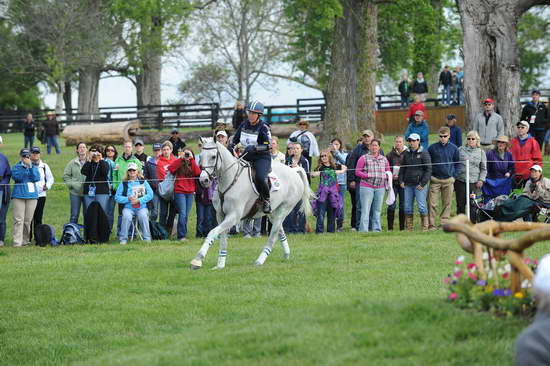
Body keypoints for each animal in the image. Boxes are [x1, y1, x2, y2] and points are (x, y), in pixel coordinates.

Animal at [193, 137, 314, 268]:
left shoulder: (233, 216)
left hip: (284, 209)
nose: (203, 180)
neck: (230, 180)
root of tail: (294, 171)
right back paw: (286, 254)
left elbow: (212, 232)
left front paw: (198, 259)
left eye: (213, 156)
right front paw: (220, 265)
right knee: (280, 230)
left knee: (273, 235)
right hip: (273, 212)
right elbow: (223, 239)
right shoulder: (221, 215)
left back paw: (260, 260)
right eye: (201, 156)